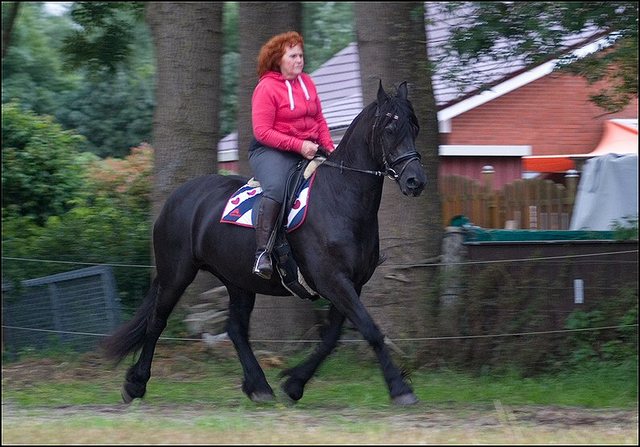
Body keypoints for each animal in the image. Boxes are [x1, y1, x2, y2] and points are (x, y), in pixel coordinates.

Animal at [102, 80, 428, 406]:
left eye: (414, 127)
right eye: (390, 128)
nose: (416, 181)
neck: (340, 198)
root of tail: (176, 199)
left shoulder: (351, 284)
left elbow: (332, 337)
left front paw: (294, 383)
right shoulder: (333, 280)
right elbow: (370, 330)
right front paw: (400, 388)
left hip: (237, 281)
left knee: (235, 329)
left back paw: (258, 386)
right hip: (177, 273)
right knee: (157, 321)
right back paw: (135, 384)